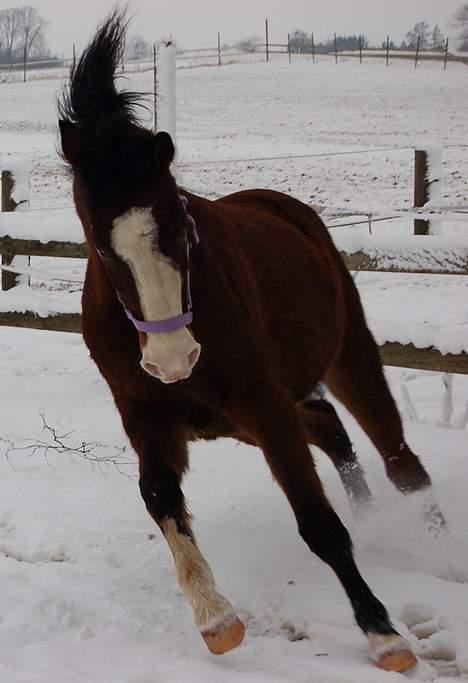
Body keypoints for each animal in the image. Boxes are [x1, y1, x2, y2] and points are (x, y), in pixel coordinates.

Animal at [57, 13, 442, 676]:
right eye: (102, 247)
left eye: (181, 225)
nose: (173, 360)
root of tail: (288, 208)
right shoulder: (148, 415)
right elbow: (160, 497)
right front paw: (217, 622)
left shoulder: (263, 404)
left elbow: (318, 523)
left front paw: (383, 635)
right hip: (250, 418)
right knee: (331, 428)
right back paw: (374, 521)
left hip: (347, 359)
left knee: (400, 462)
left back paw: (435, 539)